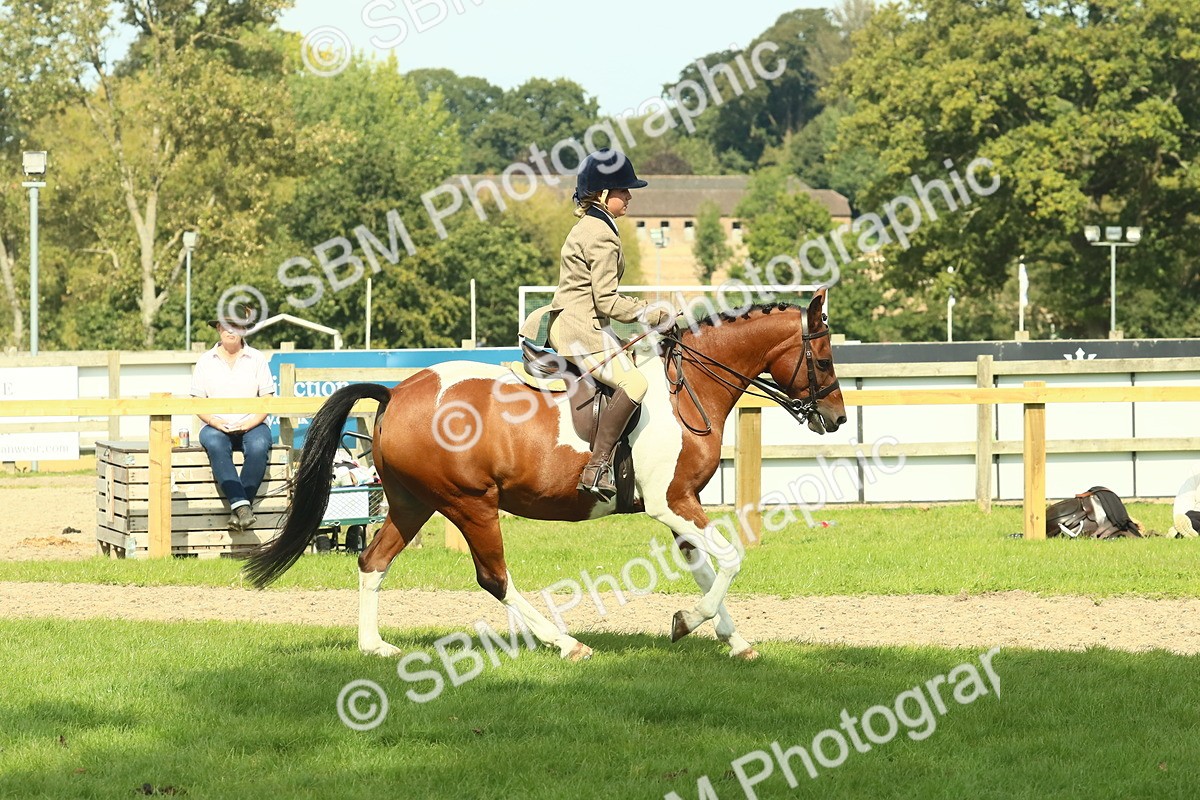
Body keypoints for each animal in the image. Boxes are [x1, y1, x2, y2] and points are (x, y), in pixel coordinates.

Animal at [245, 288, 846, 661]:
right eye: (822, 359)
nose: (837, 418)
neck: (686, 389)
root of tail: (397, 392)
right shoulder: (671, 502)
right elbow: (730, 559)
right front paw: (685, 622)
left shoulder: (681, 509)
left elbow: (706, 569)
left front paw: (733, 639)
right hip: (470, 504)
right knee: (493, 578)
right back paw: (565, 643)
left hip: (414, 503)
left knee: (373, 560)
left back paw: (374, 646)